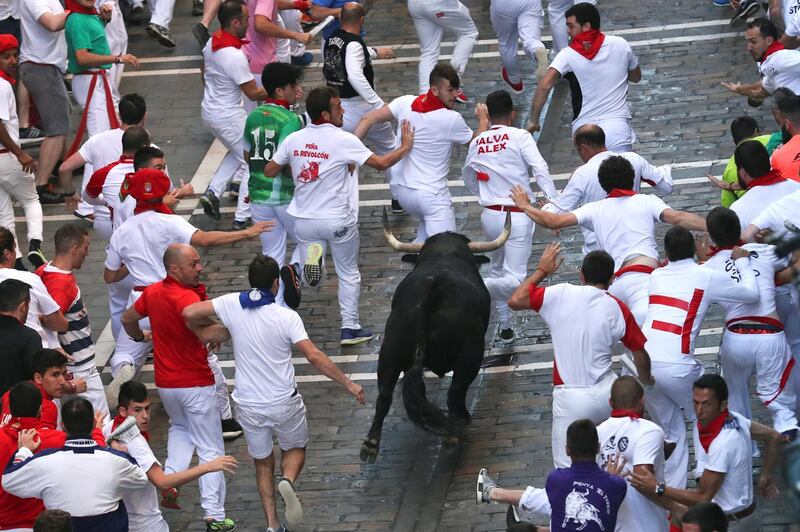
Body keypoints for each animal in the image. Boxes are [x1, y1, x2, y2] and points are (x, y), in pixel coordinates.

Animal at [360, 210, 510, 464]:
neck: (444, 256)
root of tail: (433, 291)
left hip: (389, 351)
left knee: (384, 396)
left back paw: (371, 444)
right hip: (470, 355)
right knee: (455, 393)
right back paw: (456, 429)